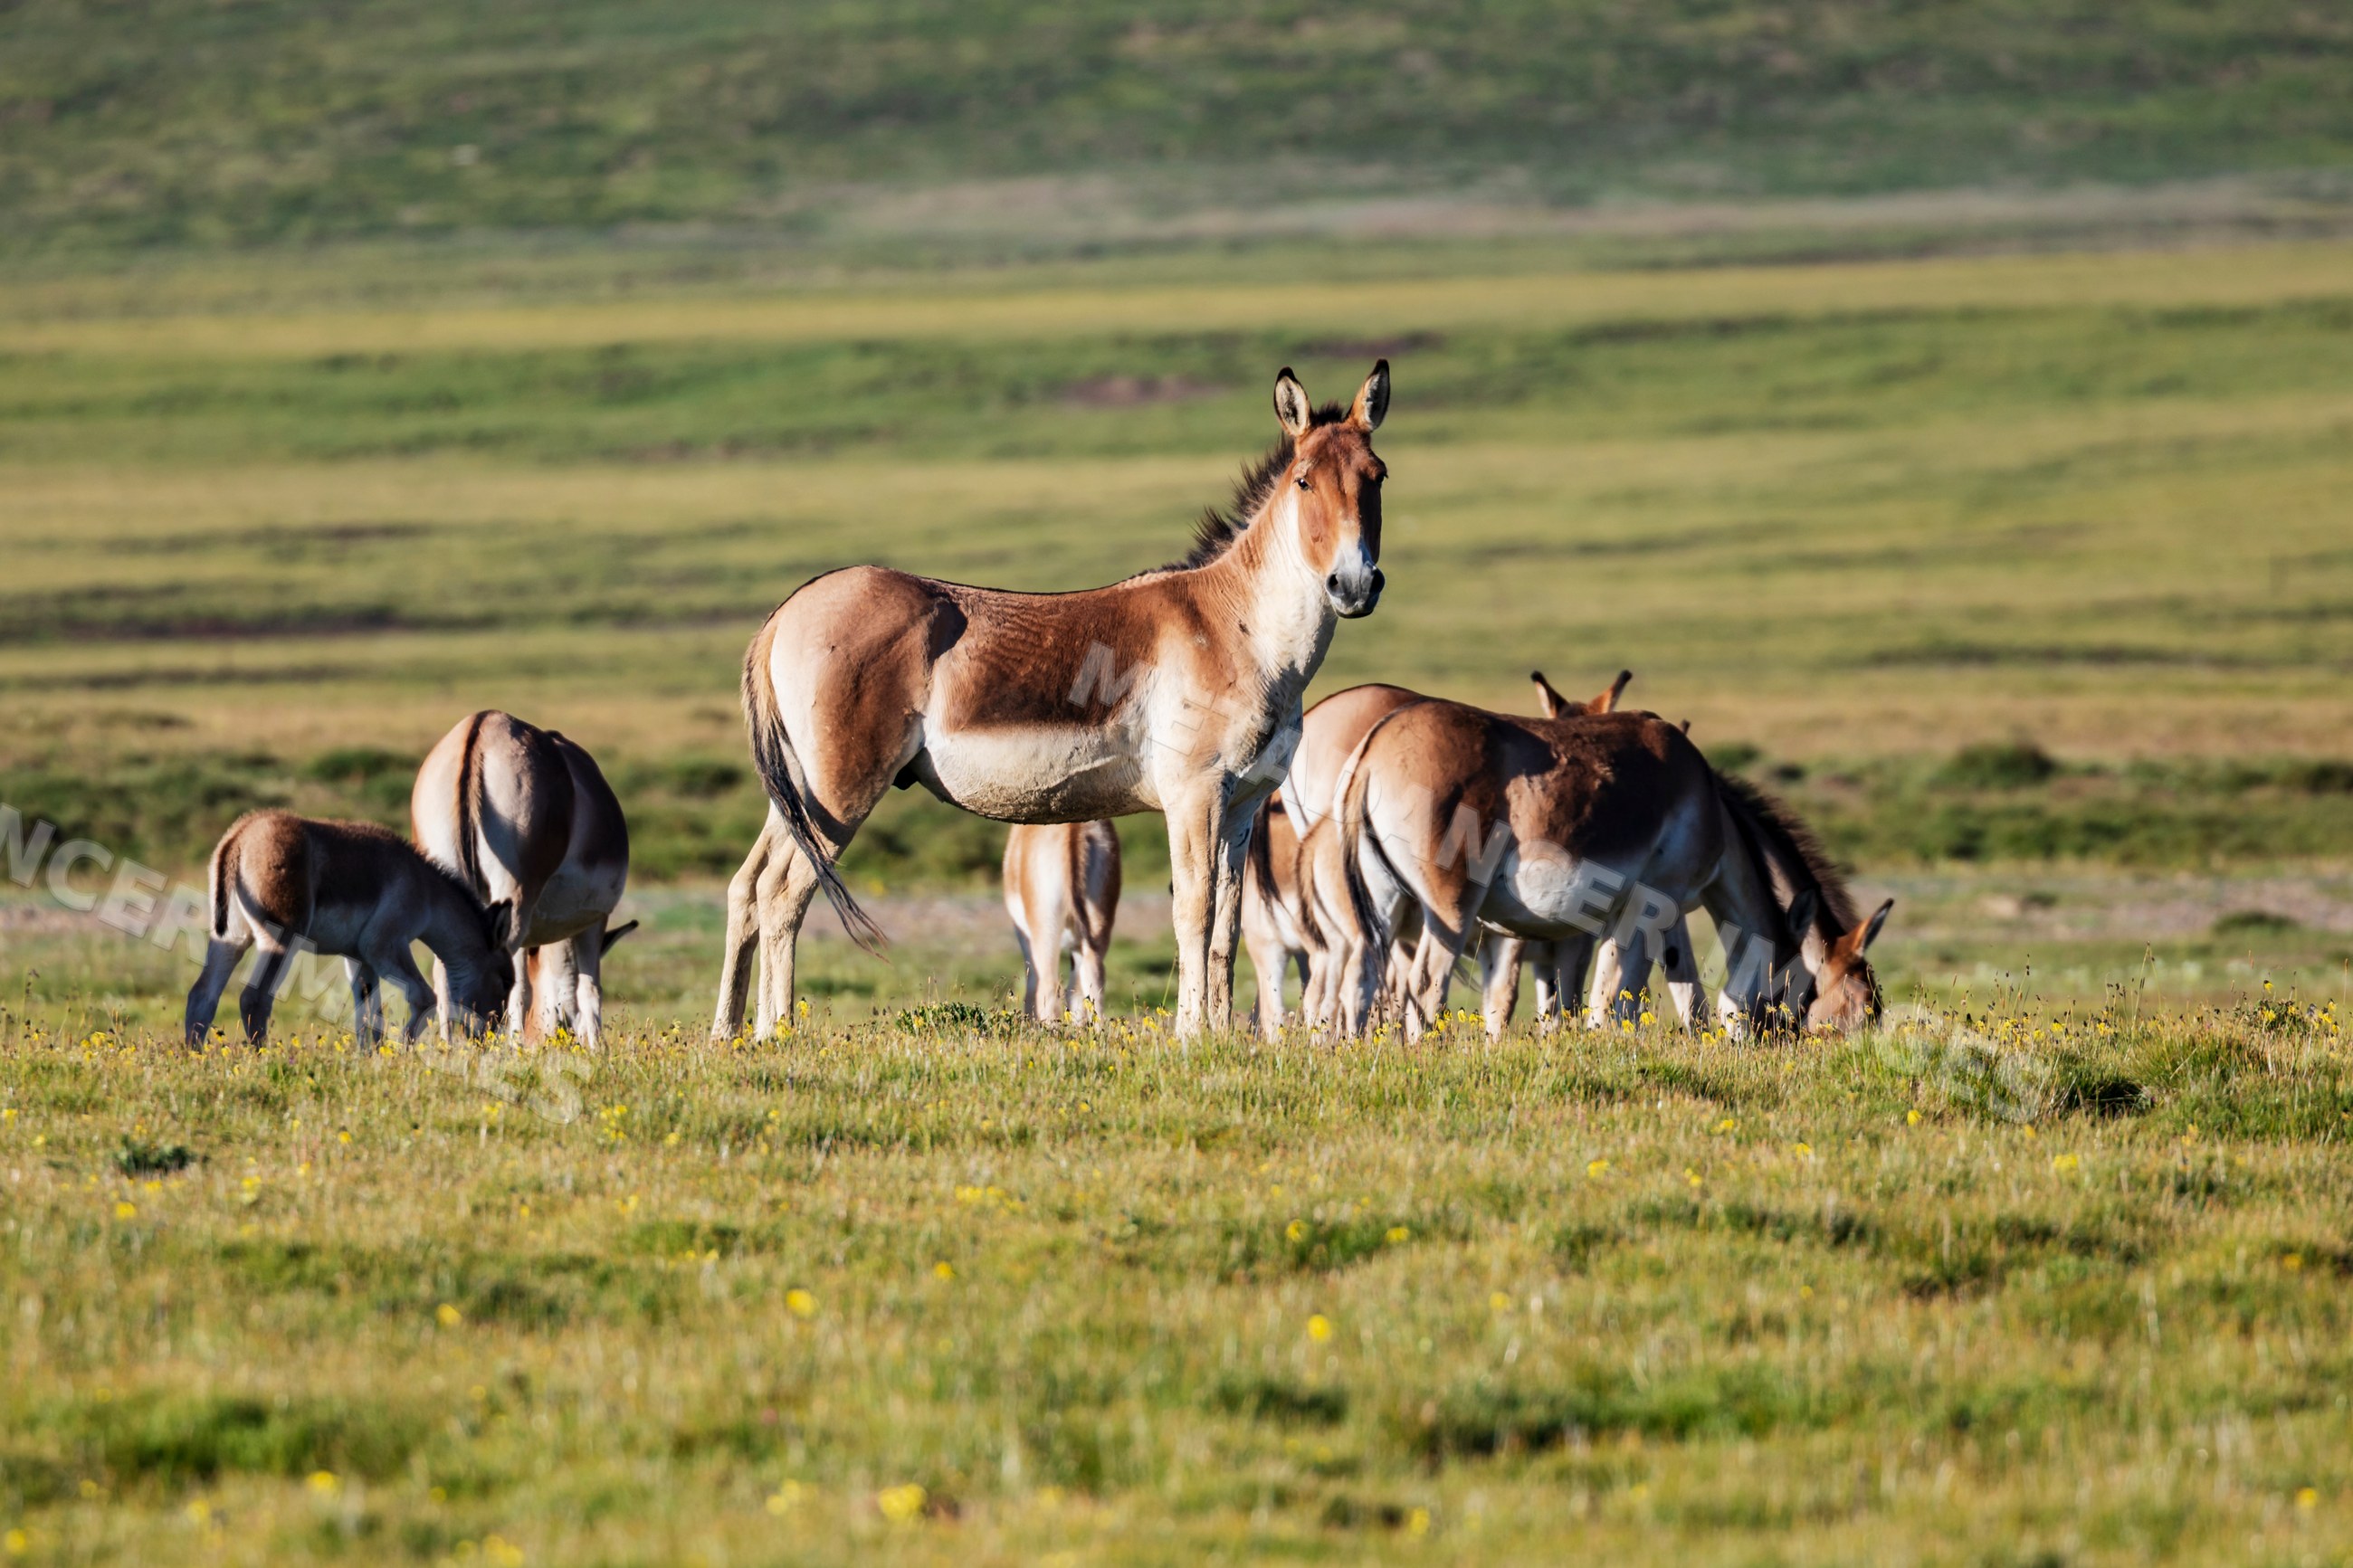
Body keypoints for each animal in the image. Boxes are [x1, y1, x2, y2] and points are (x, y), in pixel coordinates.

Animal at [186, 811, 514, 1048]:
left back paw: (195, 1057)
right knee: (254, 1000)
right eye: (505, 980)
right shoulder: (384, 947)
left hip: (231, 940)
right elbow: (424, 998)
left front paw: (372, 1059)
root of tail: (240, 835)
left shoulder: (360, 959)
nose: (490, 1038)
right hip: (280, 941)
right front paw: (403, 1053)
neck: (426, 888)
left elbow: (369, 1019)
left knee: (202, 996)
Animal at [411, 710, 633, 1047]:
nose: (542, 1037)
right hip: (515, 903)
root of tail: (481, 727)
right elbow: (588, 991)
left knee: (444, 970)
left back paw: (452, 1047)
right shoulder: (594, 920)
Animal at [1003, 821, 1121, 1023]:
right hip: (1098, 929)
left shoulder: (1025, 938)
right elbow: (1076, 992)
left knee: (1047, 987)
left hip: (1046, 933)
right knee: (1093, 981)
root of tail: (1074, 830)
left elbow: (1032, 984)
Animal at [1333, 702, 1888, 1040]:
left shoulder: (1658, 913)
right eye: (1861, 1004)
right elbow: (1620, 997)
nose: (1780, 1046)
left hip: (1383, 906)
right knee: (1426, 986)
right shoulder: (1653, 905)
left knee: (1360, 978)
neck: (1708, 801)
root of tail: (1376, 744)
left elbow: (1676, 992)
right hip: (1450, 908)